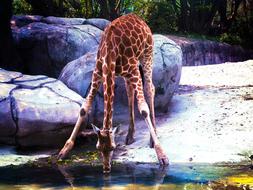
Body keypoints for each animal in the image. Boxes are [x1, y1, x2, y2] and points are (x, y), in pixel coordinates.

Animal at [57, 13, 168, 174]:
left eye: (113, 148)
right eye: (98, 148)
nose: (106, 168)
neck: (109, 52)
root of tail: (139, 18)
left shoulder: (133, 70)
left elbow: (143, 109)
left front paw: (162, 155)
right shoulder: (98, 72)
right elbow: (84, 108)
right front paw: (64, 151)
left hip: (147, 54)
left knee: (150, 88)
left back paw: (152, 139)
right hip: (126, 74)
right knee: (130, 91)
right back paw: (129, 136)